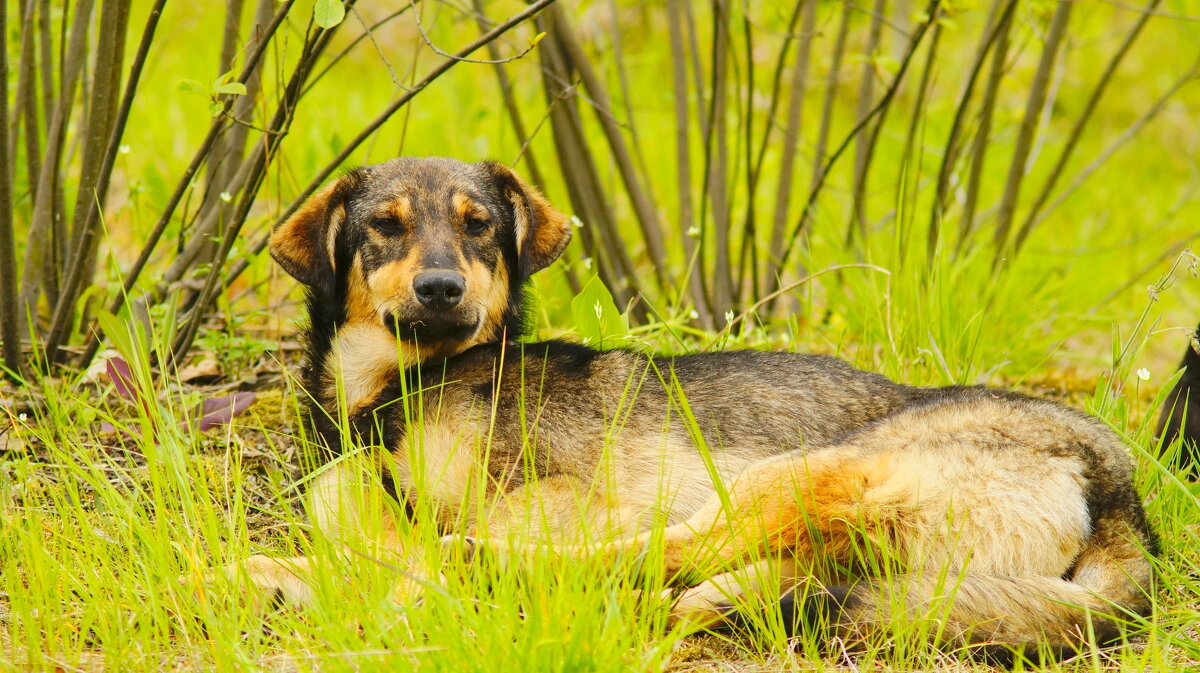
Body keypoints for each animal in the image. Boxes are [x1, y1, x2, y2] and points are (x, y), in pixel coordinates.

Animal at [241, 155, 1152, 662]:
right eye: (385, 226)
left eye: (479, 227)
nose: (440, 289)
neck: (402, 391)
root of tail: (1119, 492)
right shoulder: (348, 488)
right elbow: (358, 539)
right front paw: (292, 579)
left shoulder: (562, 495)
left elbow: (422, 551)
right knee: (721, 578)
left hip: (802, 472)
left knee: (642, 557)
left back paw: (482, 572)